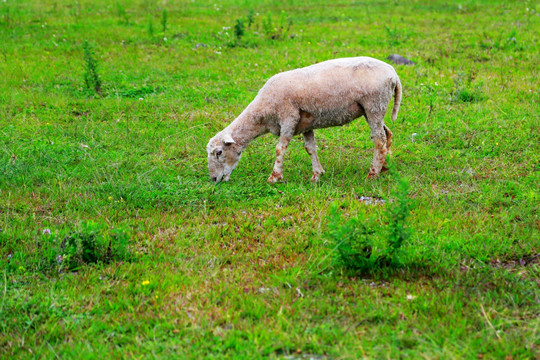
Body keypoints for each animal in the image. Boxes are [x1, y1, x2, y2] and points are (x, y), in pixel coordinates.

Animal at [207, 58, 400, 186]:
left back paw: (372, 174)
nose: (213, 179)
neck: (262, 113)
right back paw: (384, 166)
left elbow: (280, 149)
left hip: (374, 104)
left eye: (219, 152)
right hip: (372, 109)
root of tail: (393, 73)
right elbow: (310, 148)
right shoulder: (307, 124)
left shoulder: (288, 117)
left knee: (379, 140)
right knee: (386, 134)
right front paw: (317, 175)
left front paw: (275, 177)